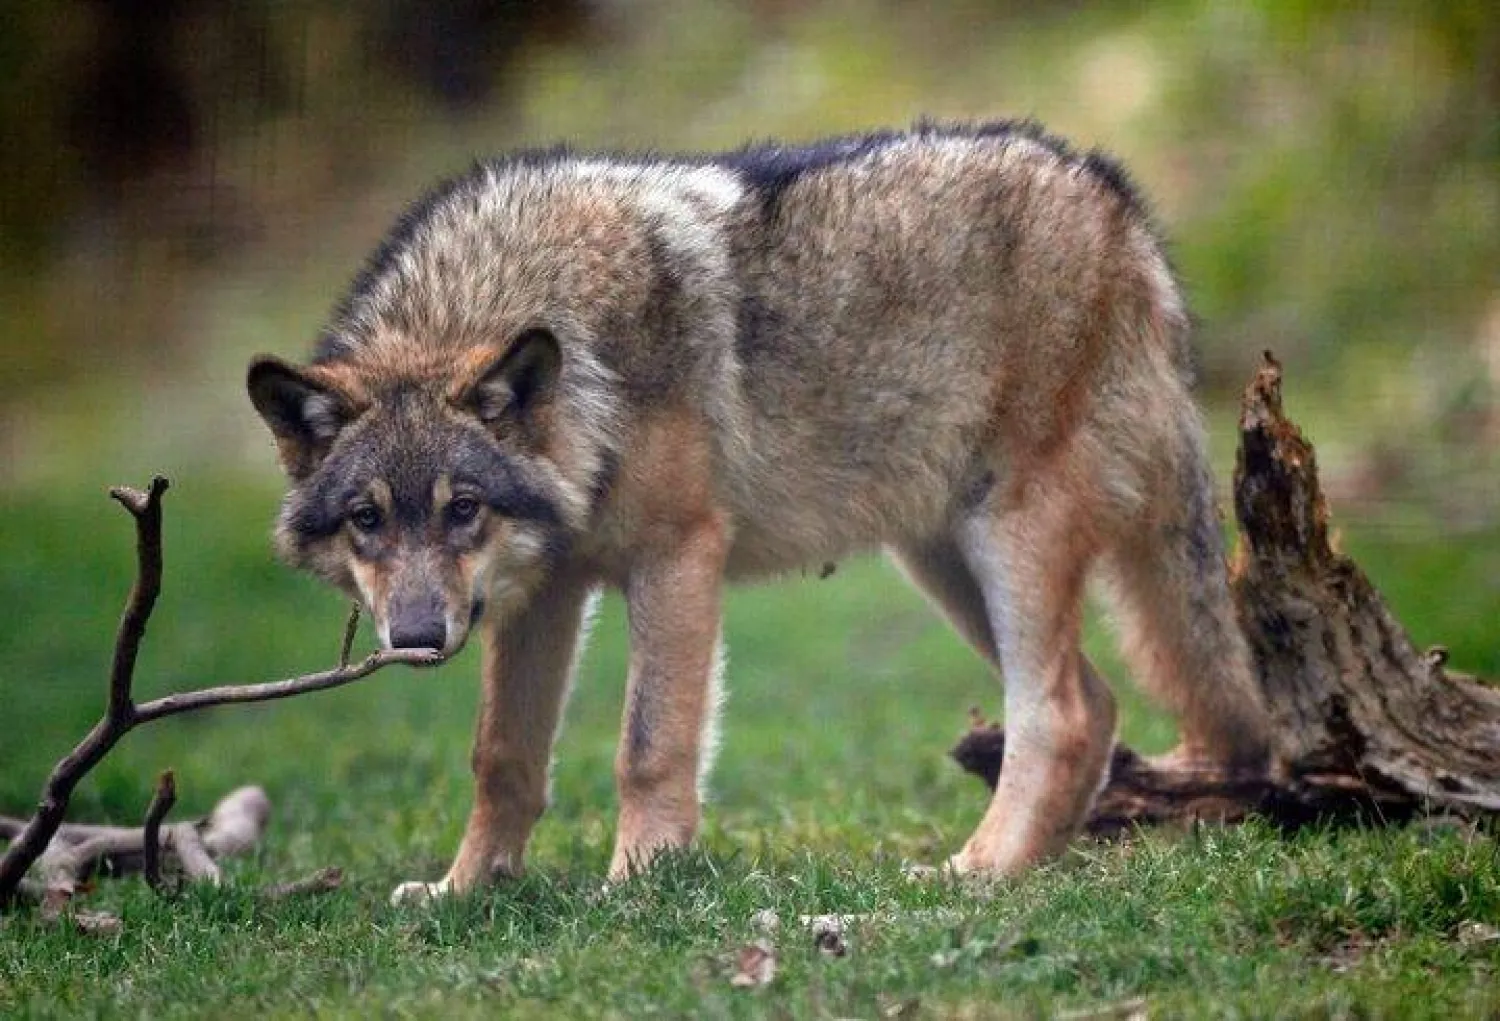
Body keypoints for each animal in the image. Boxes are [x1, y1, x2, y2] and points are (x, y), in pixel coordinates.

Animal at [247, 120, 1272, 902]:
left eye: (461, 507)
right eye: (368, 519)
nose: (417, 637)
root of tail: (1121, 207)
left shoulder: (677, 558)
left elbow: (649, 745)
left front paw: (639, 880)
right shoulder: (543, 593)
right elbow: (501, 755)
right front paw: (465, 889)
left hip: (1008, 545)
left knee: (1056, 712)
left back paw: (972, 873)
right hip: (945, 564)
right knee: (1095, 704)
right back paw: (1021, 865)